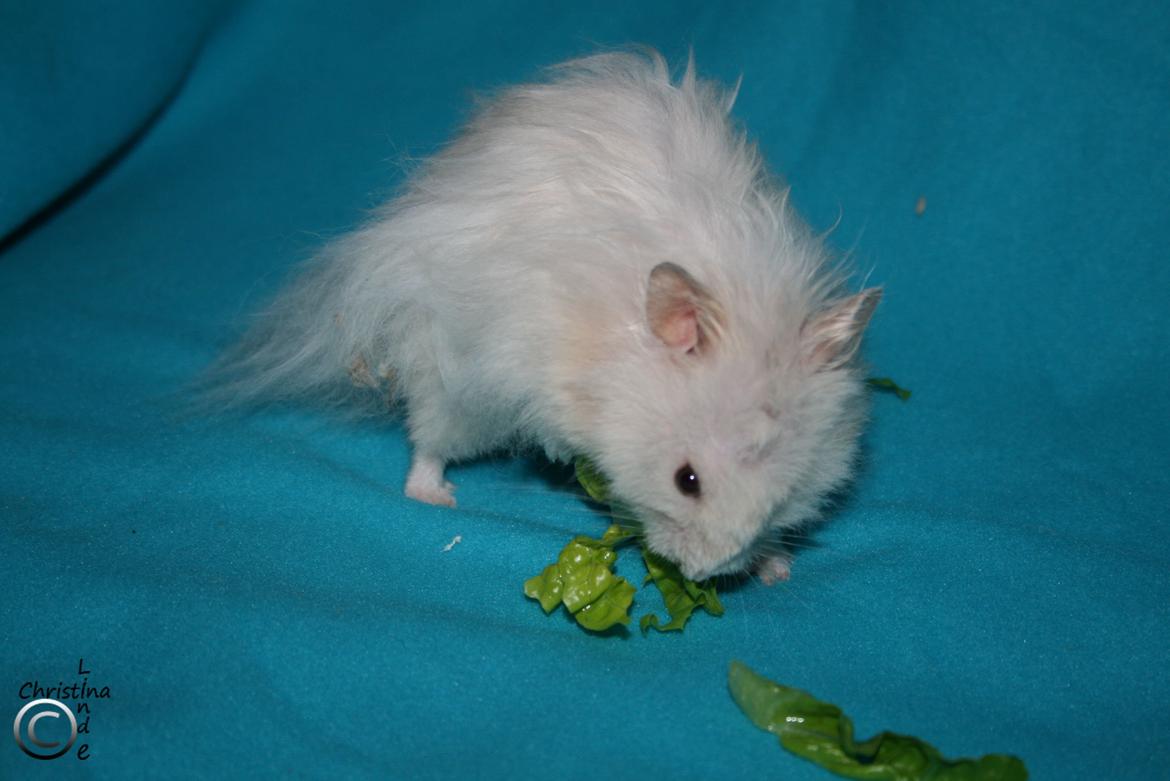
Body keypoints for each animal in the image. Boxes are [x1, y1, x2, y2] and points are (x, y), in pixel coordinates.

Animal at [209, 50, 881, 583]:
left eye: (786, 493)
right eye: (685, 480)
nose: (701, 573)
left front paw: (774, 565)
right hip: (447, 380)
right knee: (427, 442)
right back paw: (437, 498)